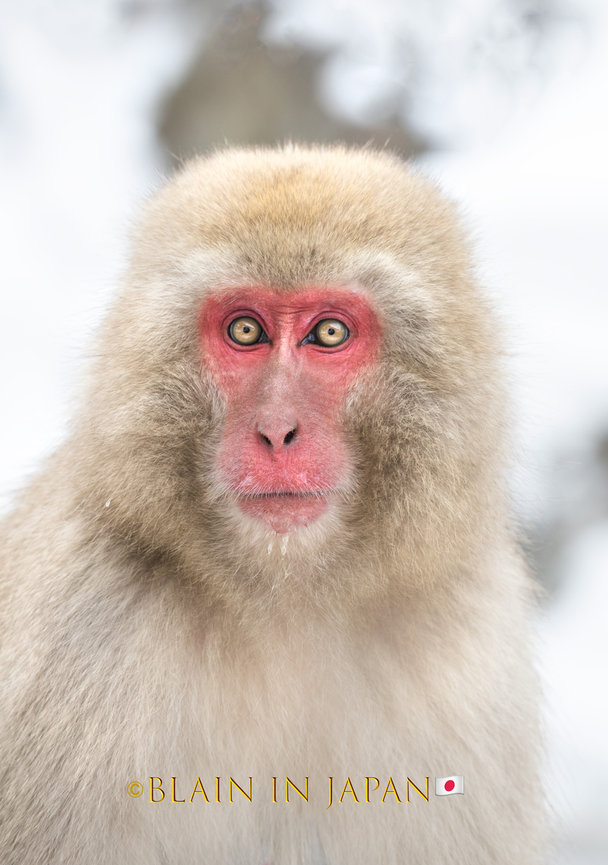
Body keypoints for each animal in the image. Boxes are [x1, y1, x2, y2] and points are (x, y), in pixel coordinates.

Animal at [0, 145, 544, 865]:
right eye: (246, 330)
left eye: (330, 332)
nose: (278, 430)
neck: (287, 602)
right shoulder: (77, 637)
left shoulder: (472, 666)